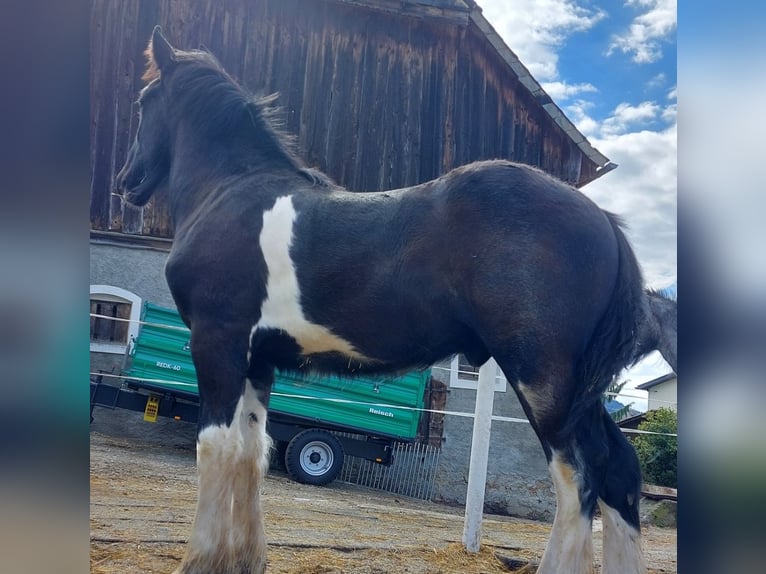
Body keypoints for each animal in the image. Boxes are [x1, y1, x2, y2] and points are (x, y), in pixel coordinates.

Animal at [114, 28, 680, 574]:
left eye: (143, 101)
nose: (125, 182)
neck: (233, 191)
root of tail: (604, 220)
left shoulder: (218, 341)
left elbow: (216, 447)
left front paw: (198, 560)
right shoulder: (259, 359)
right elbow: (253, 451)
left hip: (543, 379)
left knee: (577, 478)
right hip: (579, 388)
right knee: (618, 470)